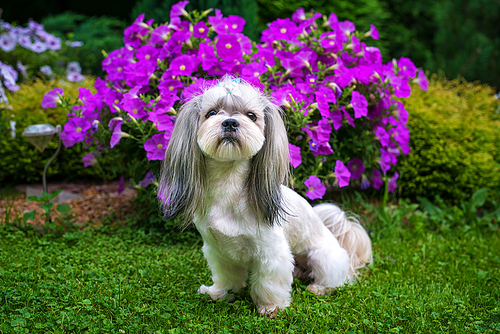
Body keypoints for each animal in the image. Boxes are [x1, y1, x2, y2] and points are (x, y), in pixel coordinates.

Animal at [158, 77, 374, 318]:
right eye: (211, 113)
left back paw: (319, 287)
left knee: (339, 279)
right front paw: (219, 293)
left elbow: (268, 283)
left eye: (251, 116)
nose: (230, 122)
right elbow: (227, 276)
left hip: (322, 257)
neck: (228, 185)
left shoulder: (271, 252)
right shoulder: (217, 250)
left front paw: (272, 308)